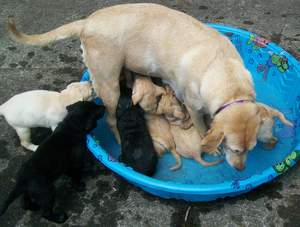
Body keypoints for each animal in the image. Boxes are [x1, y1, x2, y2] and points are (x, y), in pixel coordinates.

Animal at [7, 3, 292, 170]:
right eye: (235, 150)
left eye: (251, 150)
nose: (241, 170)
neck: (223, 74)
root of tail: (87, 21)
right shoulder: (193, 107)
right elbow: (203, 129)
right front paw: (211, 146)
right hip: (109, 87)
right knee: (111, 119)